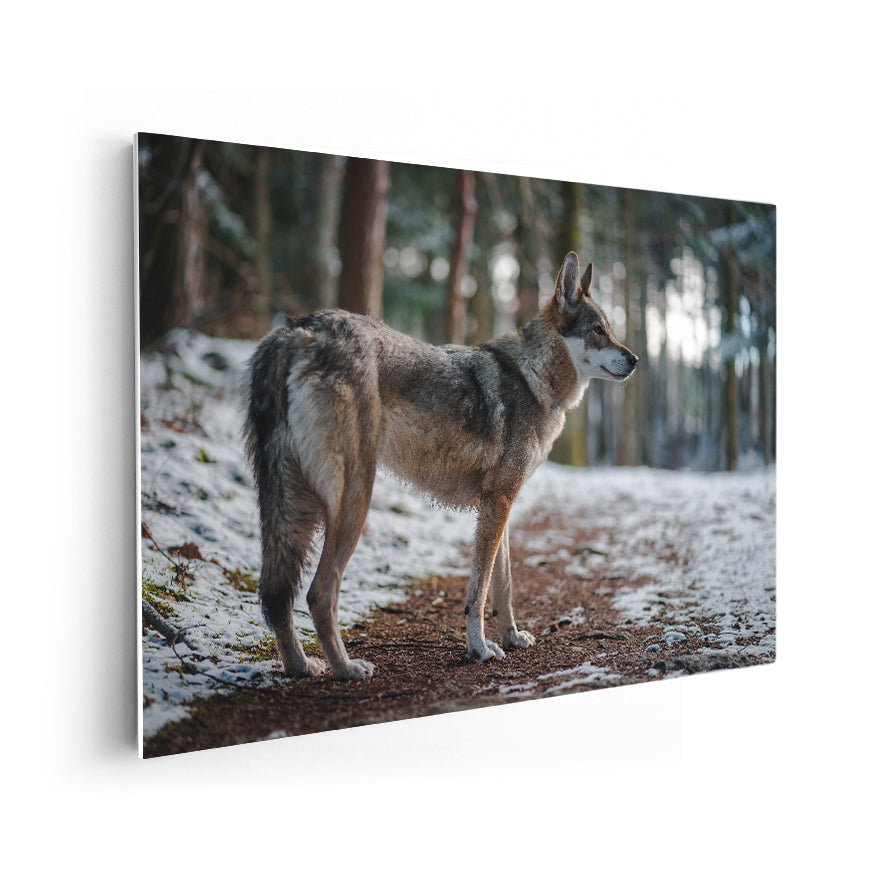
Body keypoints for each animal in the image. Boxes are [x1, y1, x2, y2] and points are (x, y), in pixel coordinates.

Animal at [244, 252, 637, 679]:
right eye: (599, 330)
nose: (635, 359)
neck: (534, 378)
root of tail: (296, 329)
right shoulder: (498, 502)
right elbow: (479, 591)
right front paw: (480, 648)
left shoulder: (500, 503)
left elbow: (504, 585)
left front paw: (512, 637)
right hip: (353, 500)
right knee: (319, 593)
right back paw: (346, 668)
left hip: (289, 504)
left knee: (277, 594)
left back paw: (301, 666)